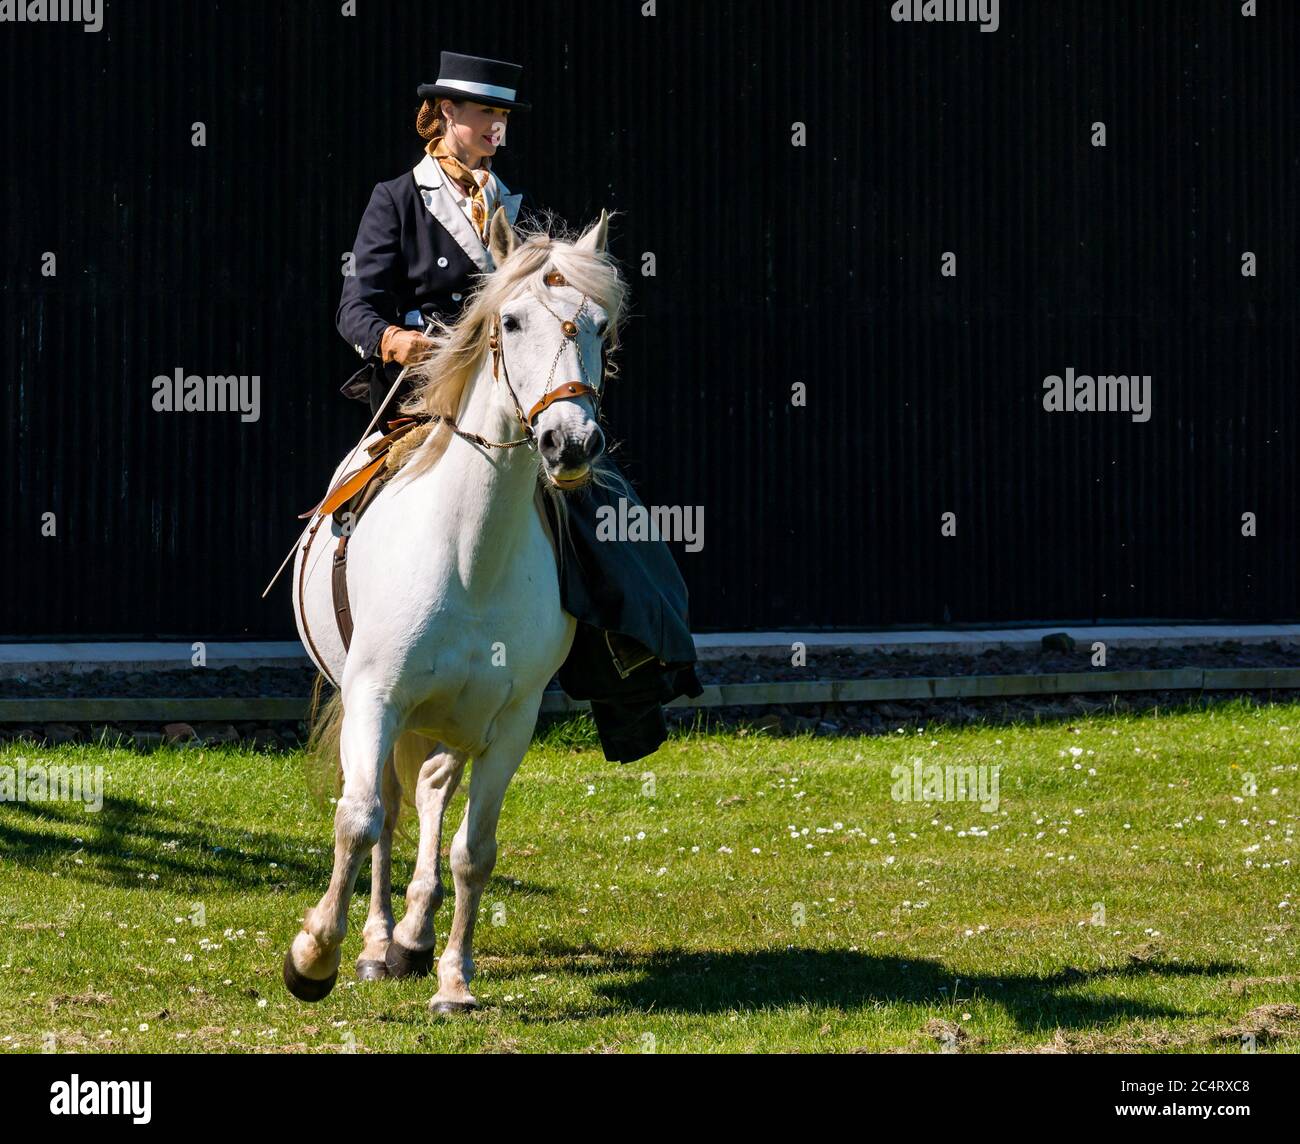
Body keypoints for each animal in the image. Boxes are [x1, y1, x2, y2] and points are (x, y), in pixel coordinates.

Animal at [286, 208, 629, 1008]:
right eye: (511, 319)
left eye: (600, 325)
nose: (570, 441)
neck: (470, 557)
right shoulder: (376, 696)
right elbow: (361, 819)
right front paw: (314, 956)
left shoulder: (512, 722)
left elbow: (475, 850)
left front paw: (454, 981)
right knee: (388, 802)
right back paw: (379, 942)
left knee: (434, 787)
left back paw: (414, 936)